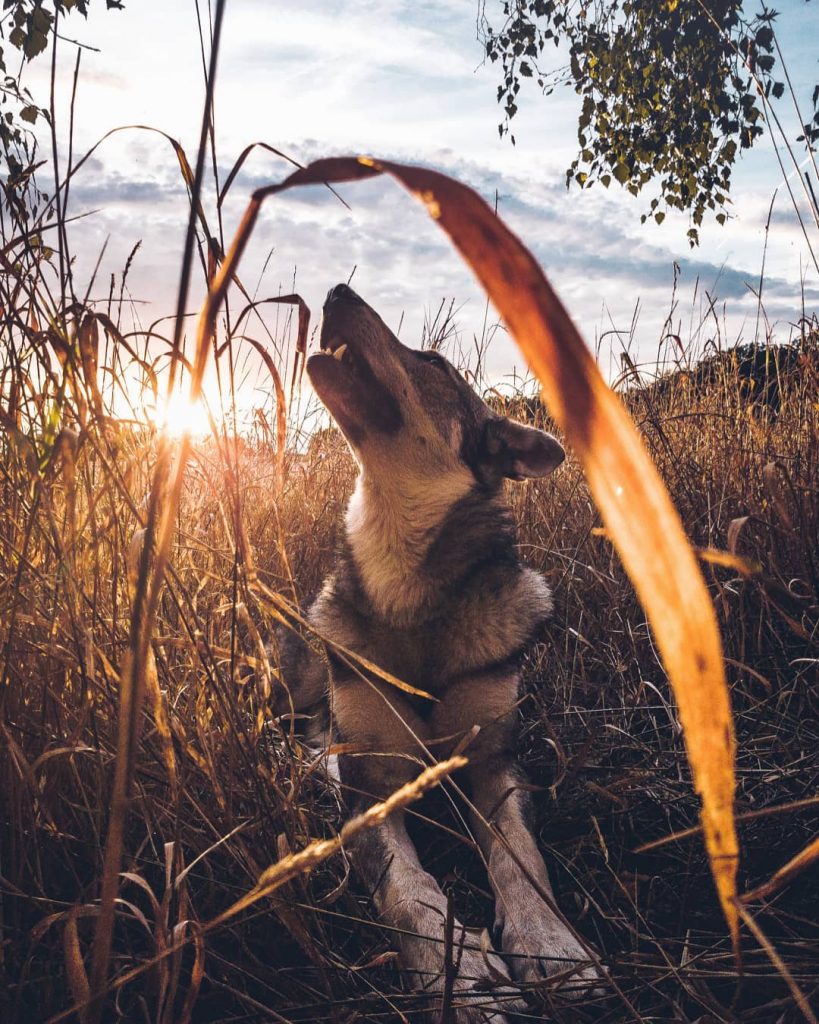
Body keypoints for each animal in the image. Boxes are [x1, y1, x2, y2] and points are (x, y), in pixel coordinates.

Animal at [277, 283, 603, 1021]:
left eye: (431, 361)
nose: (336, 290)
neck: (408, 586)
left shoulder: (495, 763)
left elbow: (521, 858)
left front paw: (553, 945)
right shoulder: (368, 785)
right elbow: (410, 889)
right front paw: (464, 973)